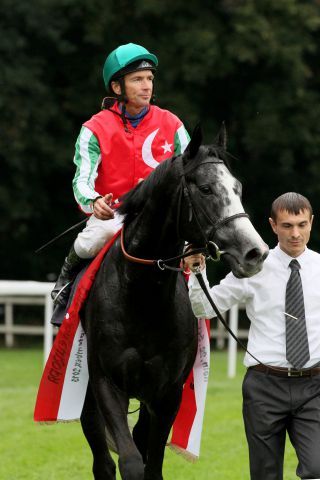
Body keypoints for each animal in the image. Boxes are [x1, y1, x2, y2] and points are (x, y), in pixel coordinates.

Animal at [79, 125, 268, 478]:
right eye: (205, 189)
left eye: (237, 187)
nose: (255, 252)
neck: (143, 297)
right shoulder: (107, 384)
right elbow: (130, 461)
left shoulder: (167, 394)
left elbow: (152, 464)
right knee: (100, 454)